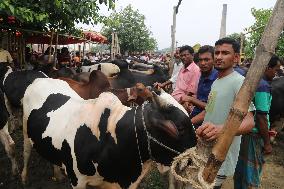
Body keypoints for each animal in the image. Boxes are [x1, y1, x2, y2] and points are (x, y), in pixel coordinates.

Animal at [22, 77, 196, 188]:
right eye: (180, 127)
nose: (191, 161)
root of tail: (40, 78)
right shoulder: (77, 180)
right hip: (25, 129)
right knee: (26, 151)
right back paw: (23, 177)